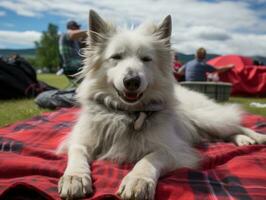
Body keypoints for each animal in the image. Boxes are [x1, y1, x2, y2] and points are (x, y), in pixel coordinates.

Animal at [57, 10, 266, 200]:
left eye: (146, 59)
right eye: (116, 57)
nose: (131, 81)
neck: (128, 114)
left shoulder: (175, 149)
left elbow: (149, 158)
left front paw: (138, 180)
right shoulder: (80, 139)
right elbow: (77, 152)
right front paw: (75, 177)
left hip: (206, 119)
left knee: (235, 124)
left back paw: (252, 137)